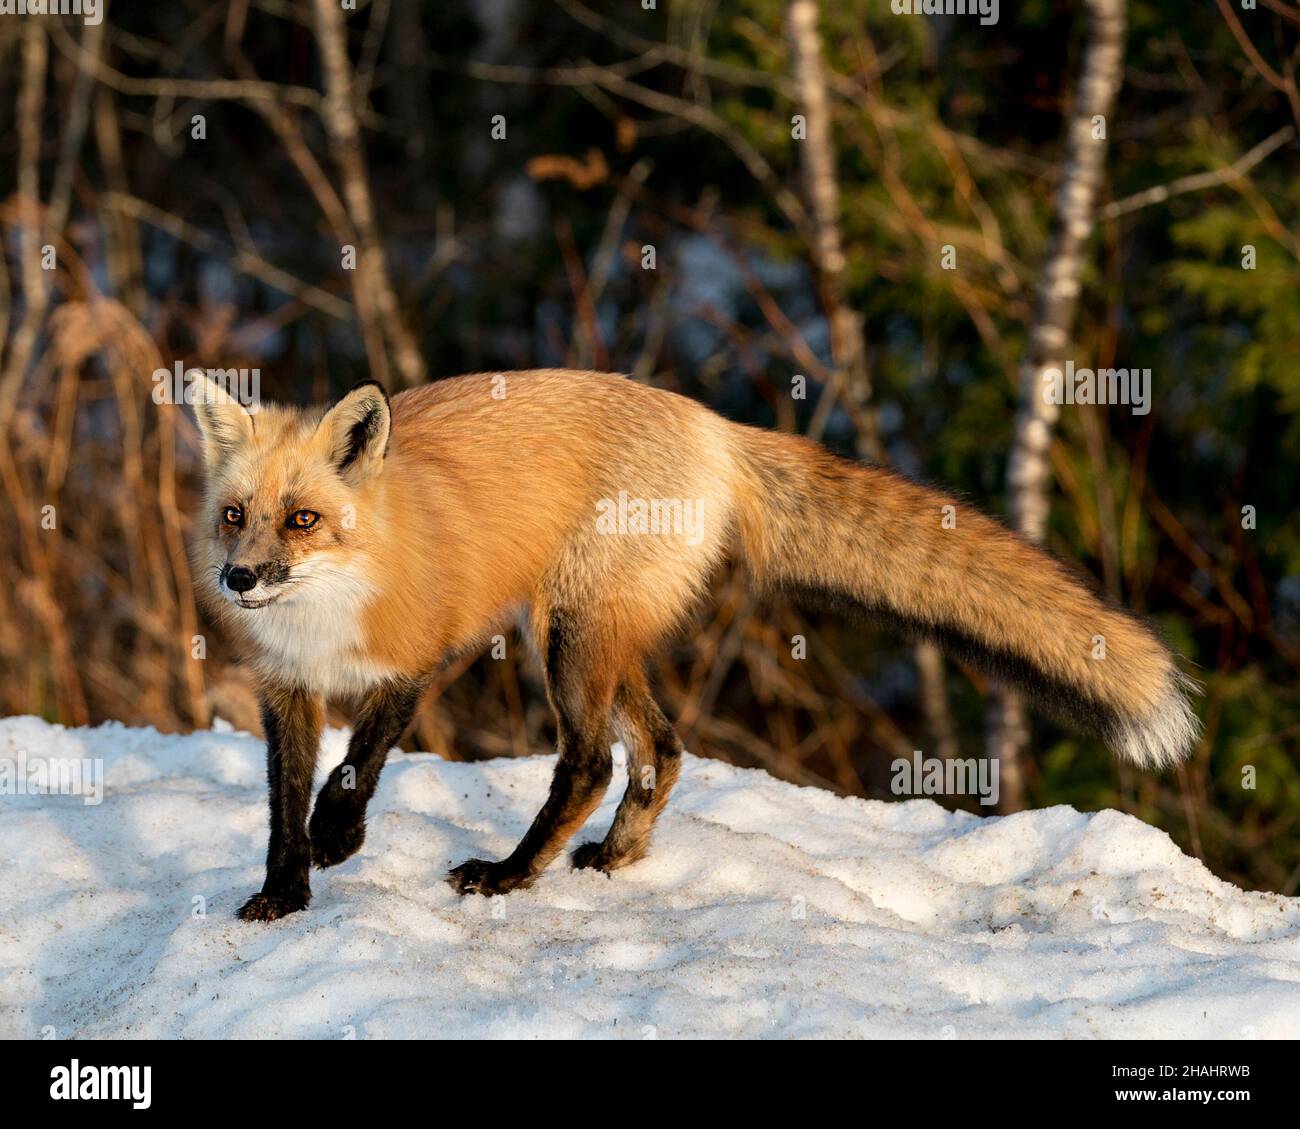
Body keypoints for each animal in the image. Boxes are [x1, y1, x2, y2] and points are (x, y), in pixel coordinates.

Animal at [193, 368, 1199, 921]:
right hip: (594, 636)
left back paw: (513, 874)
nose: (239, 581)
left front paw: (340, 838)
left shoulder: (422, 653)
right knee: (665, 748)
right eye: (236, 515)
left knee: (592, 762)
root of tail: (710, 423)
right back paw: (615, 856)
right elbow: (281, 805)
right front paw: (284, 895)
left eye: (303, 518)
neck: (322, 613)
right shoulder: (284, 688)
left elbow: (351, 768)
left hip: (565, 635)